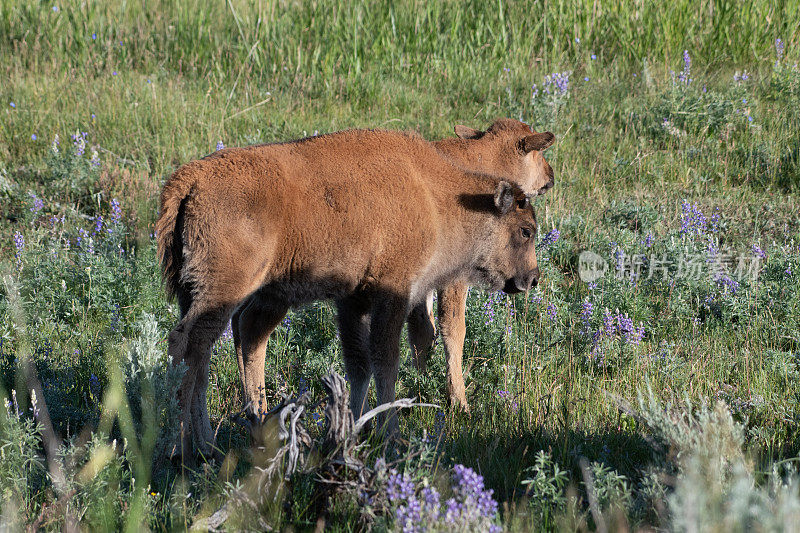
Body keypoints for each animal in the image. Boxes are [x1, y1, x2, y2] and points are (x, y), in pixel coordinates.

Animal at [156, 125, 548, 458]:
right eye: (525, 231)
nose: (532, 278)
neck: (433, 196)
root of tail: (189, 178)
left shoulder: (353, 299)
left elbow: (359, 363)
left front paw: (353, 429)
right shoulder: (392, 293)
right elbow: (386, 359)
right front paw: (390, 433)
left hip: (214, 294)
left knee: (216, 348)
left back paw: (217, 440)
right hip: (224, 290)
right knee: (189, 345)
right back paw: (186, 448)